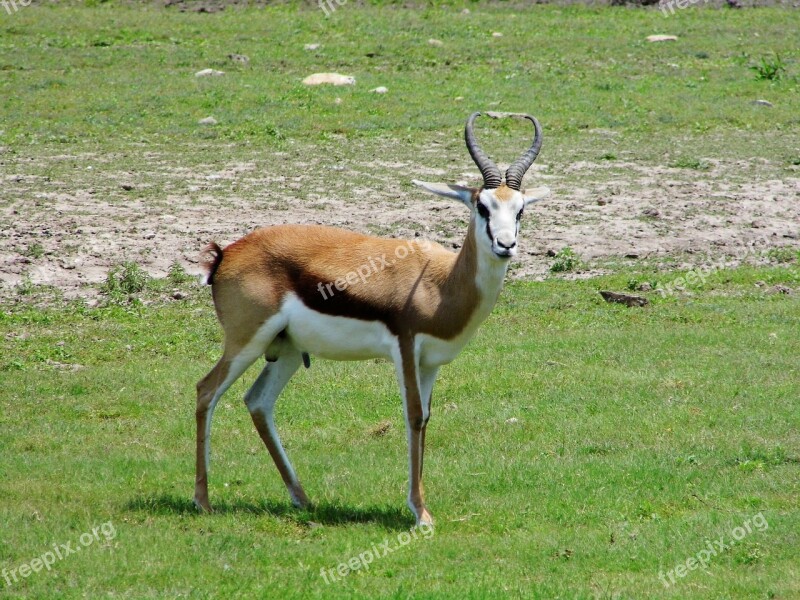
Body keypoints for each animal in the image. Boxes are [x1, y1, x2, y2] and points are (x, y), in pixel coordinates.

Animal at [192, 112, 552, 524]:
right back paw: (203, 501)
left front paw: (420, 506)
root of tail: (226, 255)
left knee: (258, 402)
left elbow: (426, 418)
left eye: (520, 210)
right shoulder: (405, 349)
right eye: (482, 207)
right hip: (245, 341)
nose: (505, 245)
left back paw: (302, 498)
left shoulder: (430, 363)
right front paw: (420, 513)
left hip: (287, 350)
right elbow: (413, 416)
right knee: (206, 391)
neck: (441, 282)